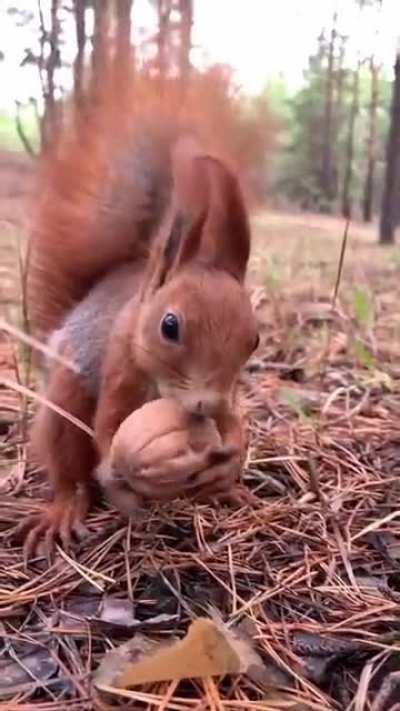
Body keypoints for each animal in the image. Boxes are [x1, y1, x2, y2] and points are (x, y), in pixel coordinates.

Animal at [20, 63, 259, 558]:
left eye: (255, 340)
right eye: (169, 326)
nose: (203, 403)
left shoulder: (224, 397)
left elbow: (231, 425)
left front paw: (226, 464)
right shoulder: (121, 365)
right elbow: (109, 428)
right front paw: (123, 481)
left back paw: (230, 492)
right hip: (65, 396)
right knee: (68, 466)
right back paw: (66, 508)